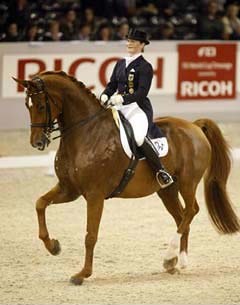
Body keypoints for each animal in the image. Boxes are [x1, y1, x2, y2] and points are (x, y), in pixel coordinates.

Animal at [13, 70, 240, 282]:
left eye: (40, 106)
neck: (85, 133)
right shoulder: (69, 189)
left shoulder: (94, 195)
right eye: (26, 105)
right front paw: (53, 246)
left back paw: (169, 258)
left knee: (191, 211)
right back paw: (177, 261)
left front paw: (82, 274)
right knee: (181, 216)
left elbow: (90, 235)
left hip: (187, 182)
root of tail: (194, 126)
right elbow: (40, 203)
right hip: (167, 190)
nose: (37, 142)